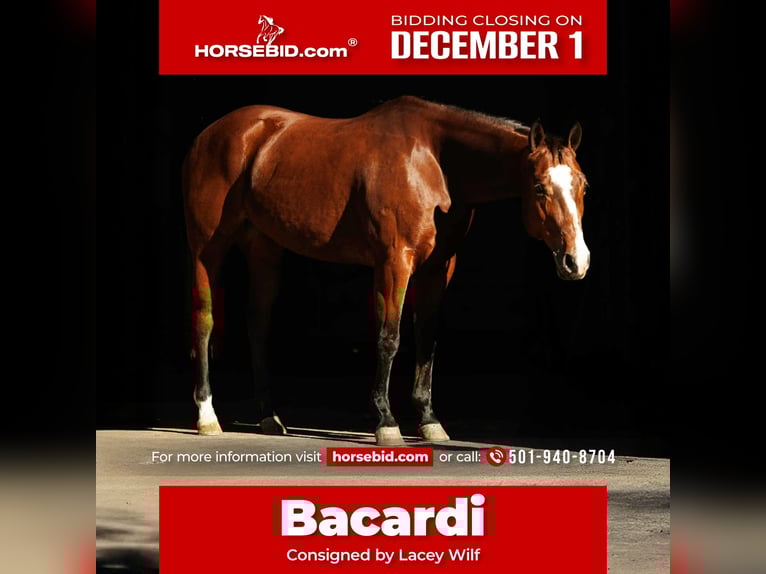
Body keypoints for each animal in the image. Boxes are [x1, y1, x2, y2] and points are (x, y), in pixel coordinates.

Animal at [182, 95, 590, 446]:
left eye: (583, 185)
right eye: (539, 187)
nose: (577, 261)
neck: (434, 162)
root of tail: (212, 134)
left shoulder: (439, 268)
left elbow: (427, 340)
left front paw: (429, 421)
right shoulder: (395, 262)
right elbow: (389, 338)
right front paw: (386, 422)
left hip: (264, 249)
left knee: (257, 327)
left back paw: (269, 416)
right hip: (207, 249)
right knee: (204, 320)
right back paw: (207, 416)